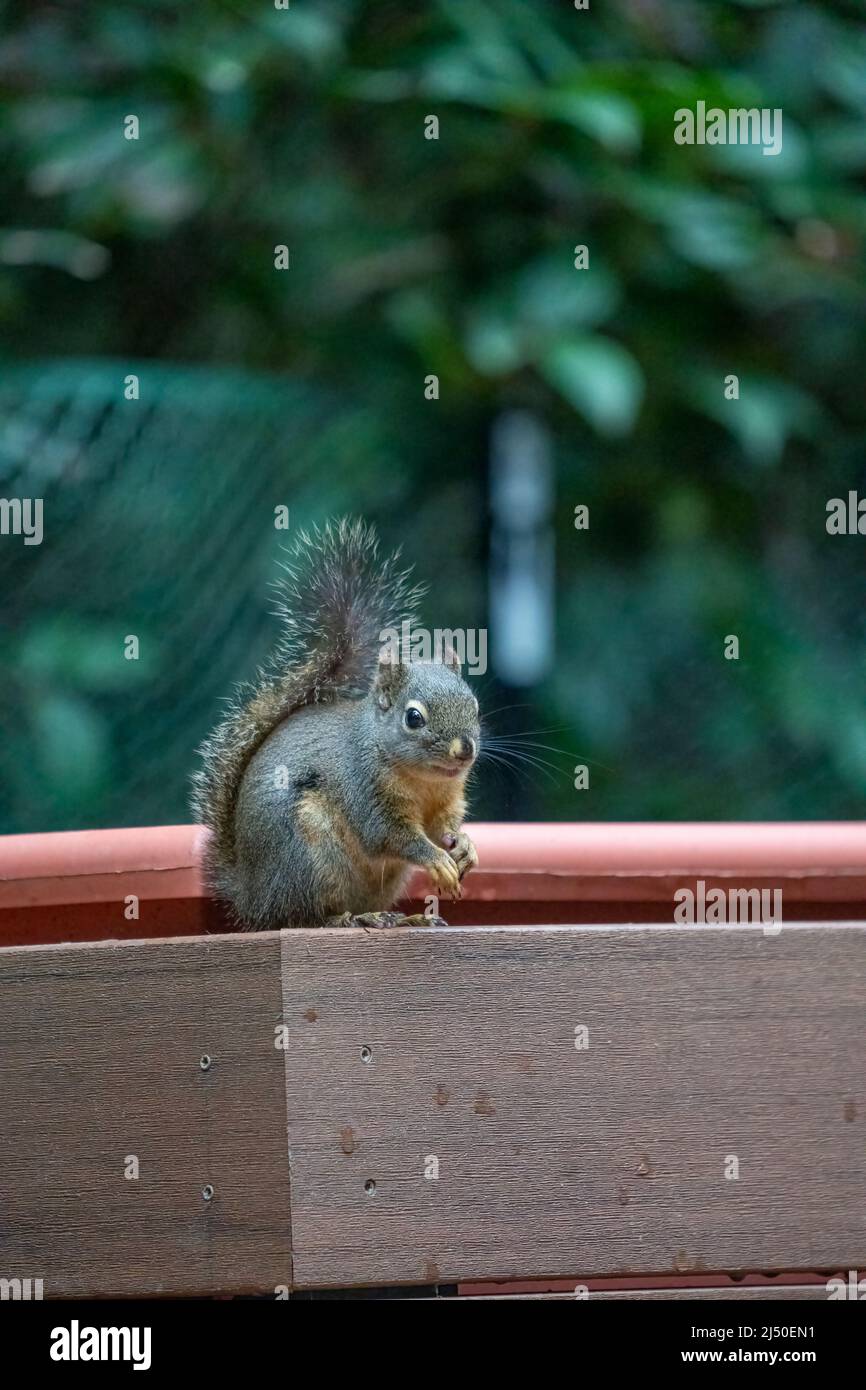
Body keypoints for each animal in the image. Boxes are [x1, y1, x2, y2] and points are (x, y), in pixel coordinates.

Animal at [191, 518, 480, 930]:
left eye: (475, 706)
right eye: (413, 718)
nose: (464, 750)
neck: (424, 780)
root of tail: (251, 897)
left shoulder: (445, 802)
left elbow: (444, 828)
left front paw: (465, 845)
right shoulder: (364, 791)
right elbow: (392, 837)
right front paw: (436, 859)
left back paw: (403, 918)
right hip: (308, 854)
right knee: (299, 917)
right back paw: (348, 919)